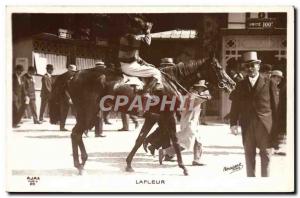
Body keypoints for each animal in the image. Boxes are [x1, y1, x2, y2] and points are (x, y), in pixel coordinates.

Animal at [49, 56, 237, 176]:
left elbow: (140, 139)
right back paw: (79, 165)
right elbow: (175, 142)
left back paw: (82, 162)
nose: (232, 83)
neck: (169, 82)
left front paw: (129, 164)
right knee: (76, 133)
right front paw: (183, 167)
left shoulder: (153, 117)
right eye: (219, 68)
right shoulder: (167, 116)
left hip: (87, 112)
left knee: (77, 134)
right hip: (88, 111)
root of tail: (74, 75)